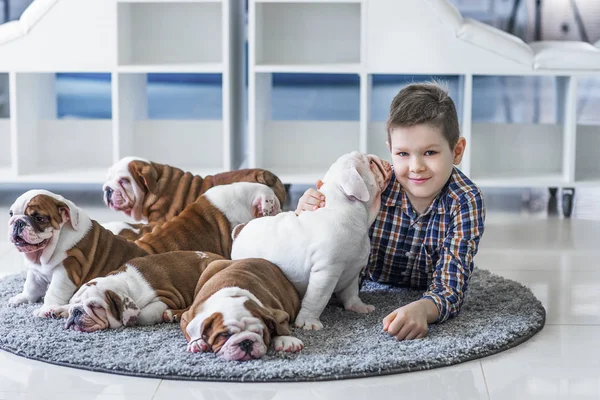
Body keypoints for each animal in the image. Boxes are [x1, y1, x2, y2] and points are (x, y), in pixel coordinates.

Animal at [7, 189, 149, 318]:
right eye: (11, 214)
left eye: (39, 218)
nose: (18, 222)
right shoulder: (35, 271)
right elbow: (31, 286)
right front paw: (22, 298)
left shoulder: (66, 268)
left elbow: (54, 291)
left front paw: (46, 308)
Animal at [65, 250, 225, 332]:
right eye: (74, 303)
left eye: (95, 306)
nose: (76, 311)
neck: (124, 282)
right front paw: (63, 309)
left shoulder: (166, 297)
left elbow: (142, 315)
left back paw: (172, 314)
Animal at [231, 152, 394, 330]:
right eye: (371, 163)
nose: (384, 161)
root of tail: (240, 230)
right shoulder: (326, 271)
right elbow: (317, 299)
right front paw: (309, 322)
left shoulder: (353, 270)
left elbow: (351, 293)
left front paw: (358, 306)